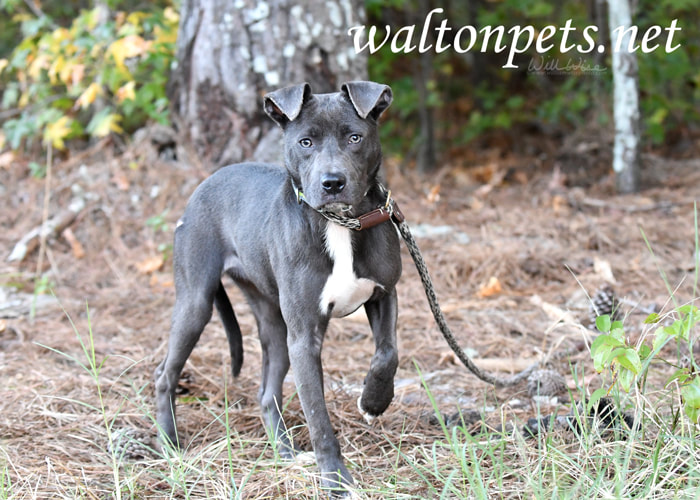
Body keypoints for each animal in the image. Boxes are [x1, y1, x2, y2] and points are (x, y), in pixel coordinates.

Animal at [156, 80, 402, 490]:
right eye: (306, 142)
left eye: (355, 137)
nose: (332, 183)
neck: (339, 224)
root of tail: (205, 183)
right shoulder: (304, 338)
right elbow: (318, 417)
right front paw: (335, 479)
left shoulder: (384, 294)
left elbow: (388, 354)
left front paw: (373, 402)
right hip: (196, 303)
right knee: (165, 373)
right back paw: (169, 442)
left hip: (275, 326)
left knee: (267, 393)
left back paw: (284, 451)